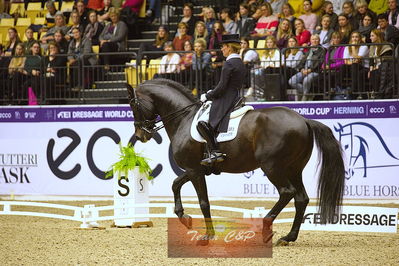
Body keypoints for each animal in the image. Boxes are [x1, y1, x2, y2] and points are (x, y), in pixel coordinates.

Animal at [126, 79, 346, 245]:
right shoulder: (196, 169)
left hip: (273, 167)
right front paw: (185, 218)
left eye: (133, 105)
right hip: (294, 169)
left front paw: (207, 236)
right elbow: (175, 184)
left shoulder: (194, 170)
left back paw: (266, 228)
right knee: (301, 198)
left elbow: (203, 202)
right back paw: (288, 237)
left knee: (287, 192)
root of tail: (304, 120)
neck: (184, 118)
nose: (140, 135)